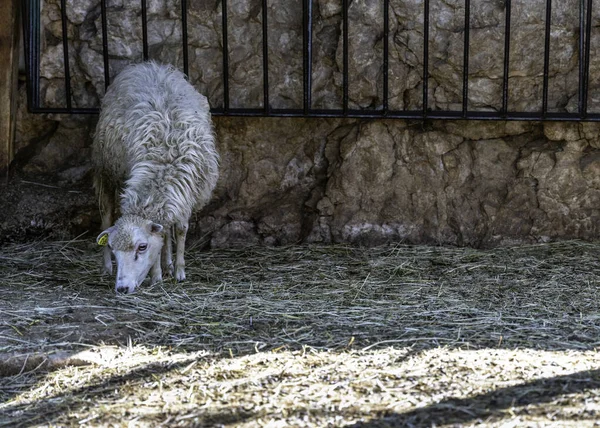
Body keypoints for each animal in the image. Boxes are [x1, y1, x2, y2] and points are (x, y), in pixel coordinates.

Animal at [91, 61, 218, 294]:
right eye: (113, 248)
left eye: (142, 247)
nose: (122, 288)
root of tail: (147, 65)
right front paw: (157, 275)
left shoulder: (187, 193)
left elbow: (180, 230)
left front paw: (178, 271)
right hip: (105, 171)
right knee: (105, 215)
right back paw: (106, 267)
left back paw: (168, 264)